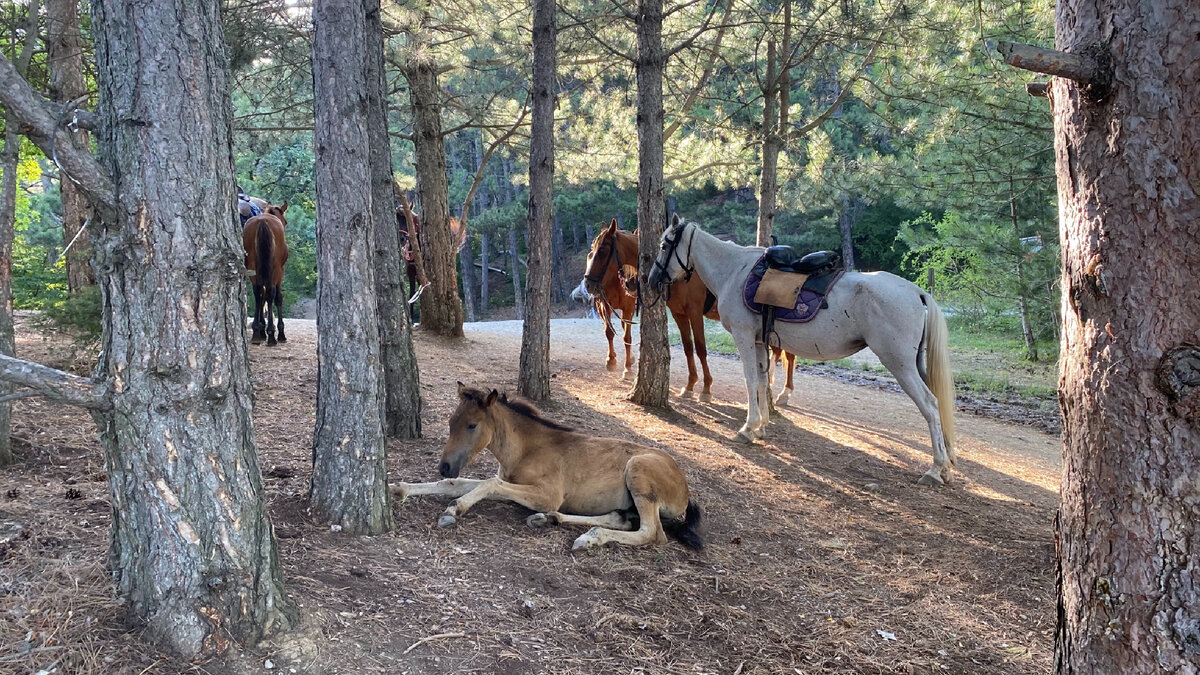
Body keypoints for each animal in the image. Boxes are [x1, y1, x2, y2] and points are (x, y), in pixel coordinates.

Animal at [242, 200, 289, 343]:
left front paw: (261, 328)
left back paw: (257, 332)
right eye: (285, 222)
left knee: (258, 293)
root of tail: (262, 221)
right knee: (270, 293)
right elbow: (277, 298)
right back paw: (272, 334)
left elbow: (261, 297)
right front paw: (279, 332)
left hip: (253, 268)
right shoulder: (280, 273)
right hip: (275, 270)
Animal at [393, 381, 700, 550]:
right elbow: (459, 484)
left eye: (471, 425)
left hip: (638, 471)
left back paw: (588, 539)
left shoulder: (548, 493)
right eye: (450, 422)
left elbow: (489, 485)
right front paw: (401, 488)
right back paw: (549, 519)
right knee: (621, 519)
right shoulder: (511, 483)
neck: (527, 449)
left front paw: (456, 508)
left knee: (652, 533)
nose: (444, 466)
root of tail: (685, 489)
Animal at [583, 219, 715, 398]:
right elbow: (688, 347)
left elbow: (700, 348)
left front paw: (706, 388)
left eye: (602, 250)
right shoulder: (679, 314)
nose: (587, 283)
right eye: (591, 251)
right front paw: (690, 385)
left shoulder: (694, 313)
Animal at [648, 212, 955, 480]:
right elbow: (762, 381)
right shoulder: (759, 340)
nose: (651, 280)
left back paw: (935, 468)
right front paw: (761, 427)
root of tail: (916, 291)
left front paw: (747, 428)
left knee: (930, 404)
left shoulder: (743, 336)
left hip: (900, 364)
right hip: (914, 363)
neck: (734, 271)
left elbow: (750, 380)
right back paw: (945, 465)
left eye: (664, 245)